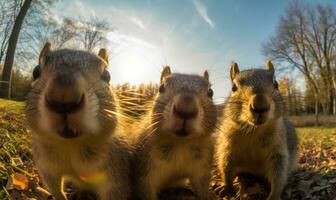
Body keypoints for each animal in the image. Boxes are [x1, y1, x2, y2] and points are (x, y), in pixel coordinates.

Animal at [25, 43, 133, 199]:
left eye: (107, 75)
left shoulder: (117, 171)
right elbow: (55, 189)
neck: (71, 145)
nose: (63, 95)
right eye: (36, 71)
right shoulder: (46, 166)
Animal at [131, 66, 218, 199]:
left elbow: (202, 189)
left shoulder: (203, 166)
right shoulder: (144, 169)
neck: (181, 144)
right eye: (161, 88)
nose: (186, 109)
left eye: (211, 92)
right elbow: (145, 190)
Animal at [214, 61, 298, 200]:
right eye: (233, 87)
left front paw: (274, 196)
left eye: (276, 84)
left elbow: (278, 174)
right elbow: (226, 167)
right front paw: (227, 187)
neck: (253, 130)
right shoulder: (227, 146)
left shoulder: (278, 151)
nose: (260, 104)